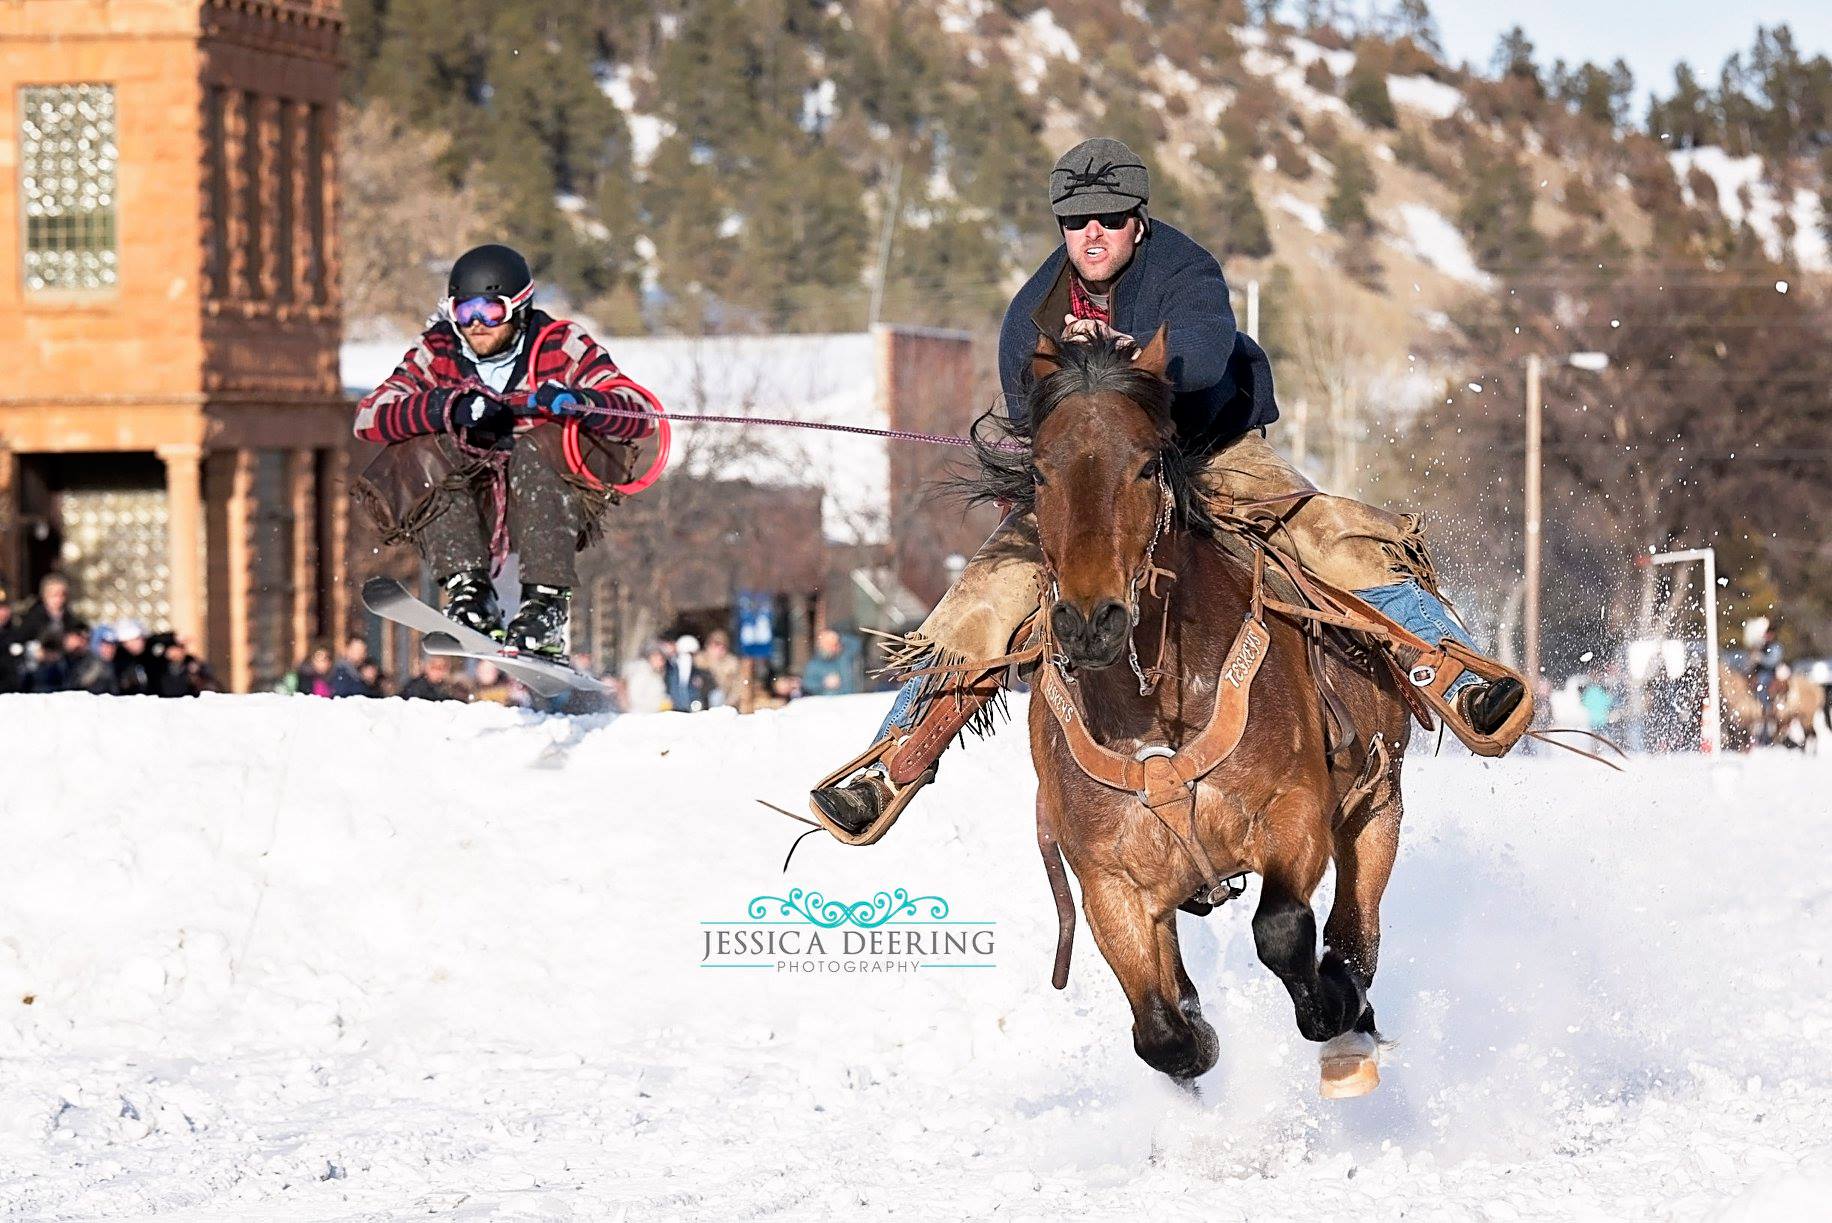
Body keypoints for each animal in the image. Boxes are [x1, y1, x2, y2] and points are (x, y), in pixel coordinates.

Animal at [974, 327, 1414, 1098]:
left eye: (1148, 465)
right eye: (1041, 474)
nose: (1090, 622)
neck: (1153, 712)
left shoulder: (1293, 811)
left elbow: (1282, 929)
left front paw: (1331, 1008)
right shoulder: (1108, 881)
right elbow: (1161, 1030)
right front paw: (1191, 1026)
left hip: (1377, 799)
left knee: (1355, 925)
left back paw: (1351, 1022)